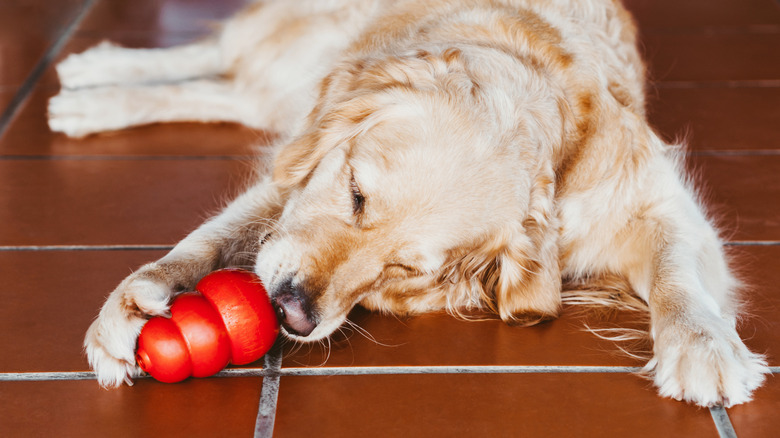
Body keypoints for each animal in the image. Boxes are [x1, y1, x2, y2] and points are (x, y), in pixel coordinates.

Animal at [48, 0, 768, 408]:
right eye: (356, 193)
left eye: (407, 267)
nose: (293, 313)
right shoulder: (295, 176)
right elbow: (212, 236)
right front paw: (134, 300)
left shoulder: (656, 200)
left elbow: (678, 274)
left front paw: (701, 345)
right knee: (226, 54)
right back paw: (96, 75)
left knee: (235, 88)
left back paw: (91, 95)